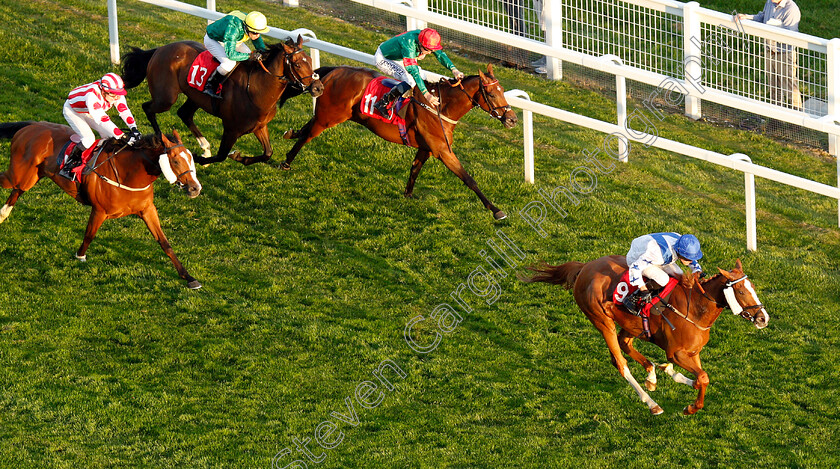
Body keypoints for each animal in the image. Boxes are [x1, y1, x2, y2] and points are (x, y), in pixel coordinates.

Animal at [0, 119, 203, 288]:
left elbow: (165, 243)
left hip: (30, 177)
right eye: (175, 161)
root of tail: (32, 125)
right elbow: (89, 235)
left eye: (191, 158)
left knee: (17, 191)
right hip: (17, 174)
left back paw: (3, 214)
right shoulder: (99, 211)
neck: (129, 173)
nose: (195, 188)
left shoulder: (147, 210)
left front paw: (189, 277)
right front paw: (80, 256)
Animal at [120, 37, 324, 167]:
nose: (318, 88)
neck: (257, 89)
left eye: (310, 60)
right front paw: (201, 159)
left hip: (195, 97)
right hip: (166, 98)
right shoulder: (232, 128)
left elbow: (268, 153)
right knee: (148, 108)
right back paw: (162, 140)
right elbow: (221, 156)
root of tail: (161, 48)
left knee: (184, 114)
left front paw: (240, 157)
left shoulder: (259, 126)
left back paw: (205, 147)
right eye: (297, 64)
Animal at [278, 63, 516, 219]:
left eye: (503, 91)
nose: (512, 119)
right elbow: (468, 178)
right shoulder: (442, 151)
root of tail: (335, 70)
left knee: (304, 129)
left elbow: (414, 169)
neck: (440, 106)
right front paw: (496, 210)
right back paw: (286, 162)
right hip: (329, 117)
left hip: (327, 115)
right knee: (307, 135)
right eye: (492, 94)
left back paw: (289, 134)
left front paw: (408, 195)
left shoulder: (426, 148)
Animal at [520, 256, 772, 414]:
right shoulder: (676, 353)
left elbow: (702, 378)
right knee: (620, 362)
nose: (763, 318)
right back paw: (652, 403)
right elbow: (703, 377)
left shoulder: (693, 352)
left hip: (632, 326)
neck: (696, 309)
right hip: (602, 319)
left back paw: (653, 373)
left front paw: (682, 390)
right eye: (741, 291)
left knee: (625, 345)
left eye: (753, 287)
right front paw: (690, 406)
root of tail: (586, 267)